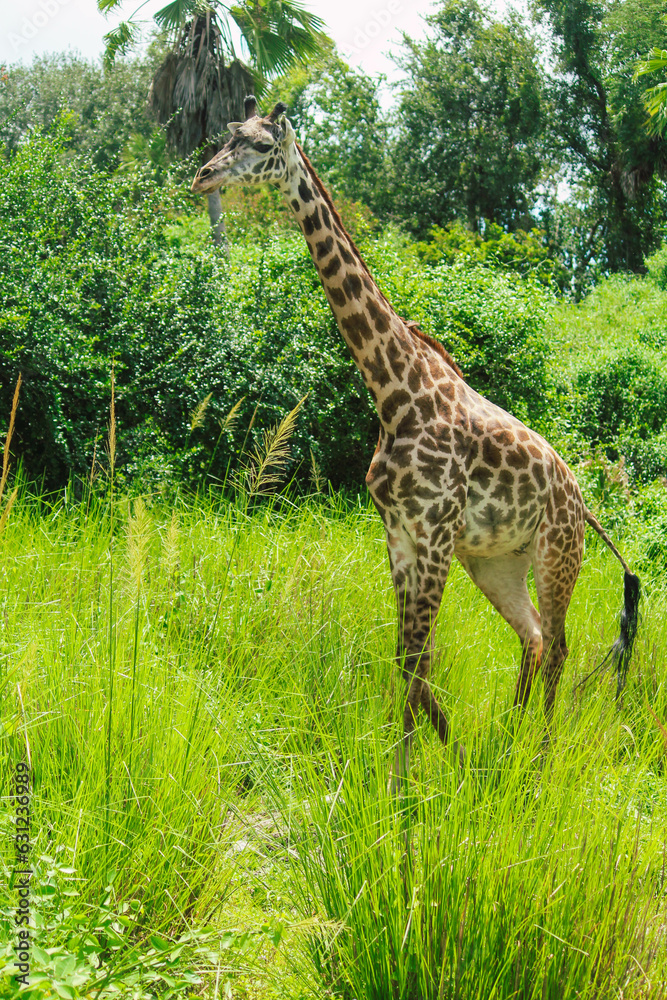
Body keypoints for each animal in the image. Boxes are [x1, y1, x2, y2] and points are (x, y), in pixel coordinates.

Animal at [191, 97, 641, 786]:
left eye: (262, 146)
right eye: (224, 135)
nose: (203, 175)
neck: (393, 391)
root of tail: (584, 502)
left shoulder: (432, 534)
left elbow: (419, 661)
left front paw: (411, 786)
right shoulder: (400, 534)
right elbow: (408, 660)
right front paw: (431, 767)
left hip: (556, 556)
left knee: (561, 644)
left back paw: (538, 758)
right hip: (495, 563)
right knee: (534, 638)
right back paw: (508, 747)